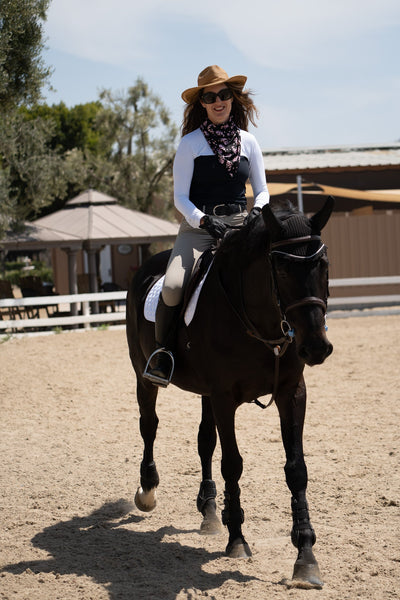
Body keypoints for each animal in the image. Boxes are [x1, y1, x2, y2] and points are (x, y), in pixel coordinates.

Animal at [127, 197, 334, 584]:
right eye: (282, 271)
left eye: (323, 266)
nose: (316, 348)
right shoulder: (225, 398)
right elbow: (233, 464)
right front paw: (237, 540)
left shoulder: (291, 393)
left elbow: (296, 468)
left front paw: (305, 556)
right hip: (144, 375)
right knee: (149, 425)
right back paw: (148, 491)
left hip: (205, 394)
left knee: (204, 440)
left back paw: (209, 510)